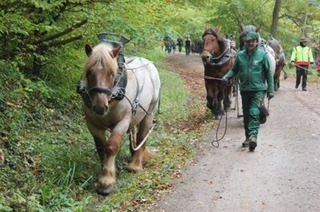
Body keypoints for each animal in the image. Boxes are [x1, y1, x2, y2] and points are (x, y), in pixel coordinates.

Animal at [79, 41, 161, 195]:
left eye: (111, 73)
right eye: (89, 72)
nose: (99, 107)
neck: (112, 98)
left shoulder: (122, 122)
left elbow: (111, 146)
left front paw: (106, 181)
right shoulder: (92, 124)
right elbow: (101, 148)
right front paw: (106, 171)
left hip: (149, 112)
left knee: (142, 136)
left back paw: (135, 165)